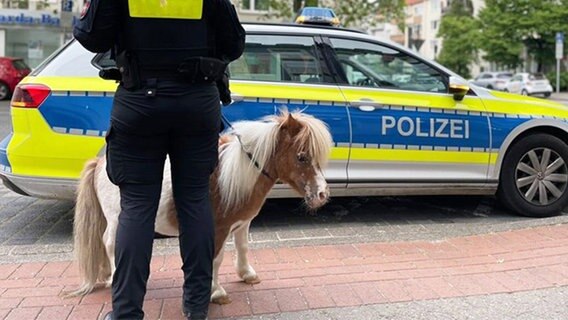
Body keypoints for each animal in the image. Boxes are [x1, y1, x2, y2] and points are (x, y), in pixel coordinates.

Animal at [65, 111, 332, 304]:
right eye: (301, 156)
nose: (322, 194)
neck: (231, 176)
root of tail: (100, 163)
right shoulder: (219, 228)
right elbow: (217, 258)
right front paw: (216, 291)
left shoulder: (242, 223)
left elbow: (243, 247)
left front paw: (247, 274)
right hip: (116, 217)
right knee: (110, 242)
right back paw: (114, 278)